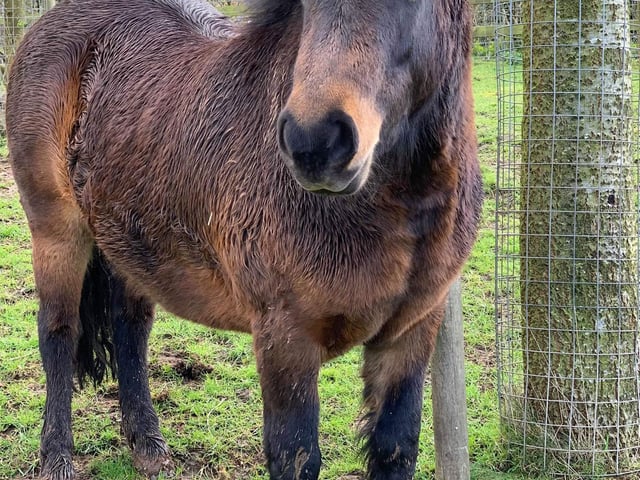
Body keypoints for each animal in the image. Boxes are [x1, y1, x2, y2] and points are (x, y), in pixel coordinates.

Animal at [6, 0, 483, 478]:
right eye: (308, 8)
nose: (314, 142)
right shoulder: (286, 341)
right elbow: (296, 455)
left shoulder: (412, 333)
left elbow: (395, 447)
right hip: (57, 234)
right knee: (59, 333)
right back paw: (56, 456)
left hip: (129, 244)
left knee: (130, 328)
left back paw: (147, 444)